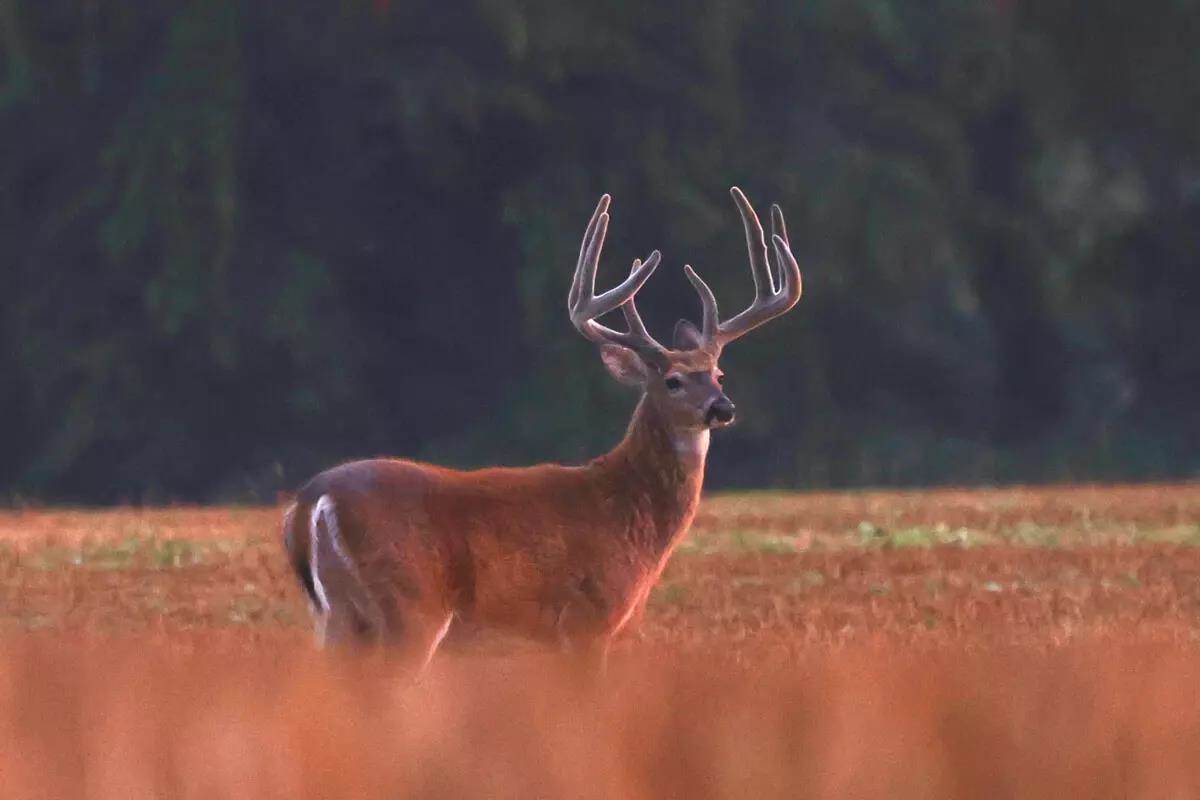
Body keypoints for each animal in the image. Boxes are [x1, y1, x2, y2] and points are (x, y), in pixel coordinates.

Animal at [281, 187, 803, 673]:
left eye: (719, 375)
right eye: (673, 380)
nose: (722, 408)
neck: (625, 508)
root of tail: (314, 500)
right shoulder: (589, 619)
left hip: (338, 618)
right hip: (409, 608)